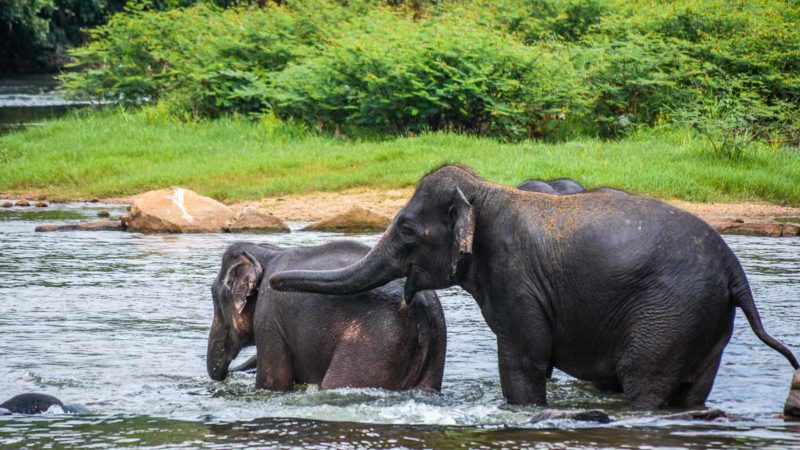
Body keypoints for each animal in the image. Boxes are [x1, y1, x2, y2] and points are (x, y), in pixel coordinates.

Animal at [206, 241, 446, 392]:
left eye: (216, 300)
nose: (226, 374)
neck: (267, 252)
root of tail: (423, 310)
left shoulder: (268, 316)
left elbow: (274, 382)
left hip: (378, 344)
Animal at [270, 163, 800, 414]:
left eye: (405, 230)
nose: (274, 278)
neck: (486, 192)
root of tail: (734, 272)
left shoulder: (515, 279)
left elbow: (523, 362)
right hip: (706, 319)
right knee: (693, 391)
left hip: (671, 312)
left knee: (645, 379)